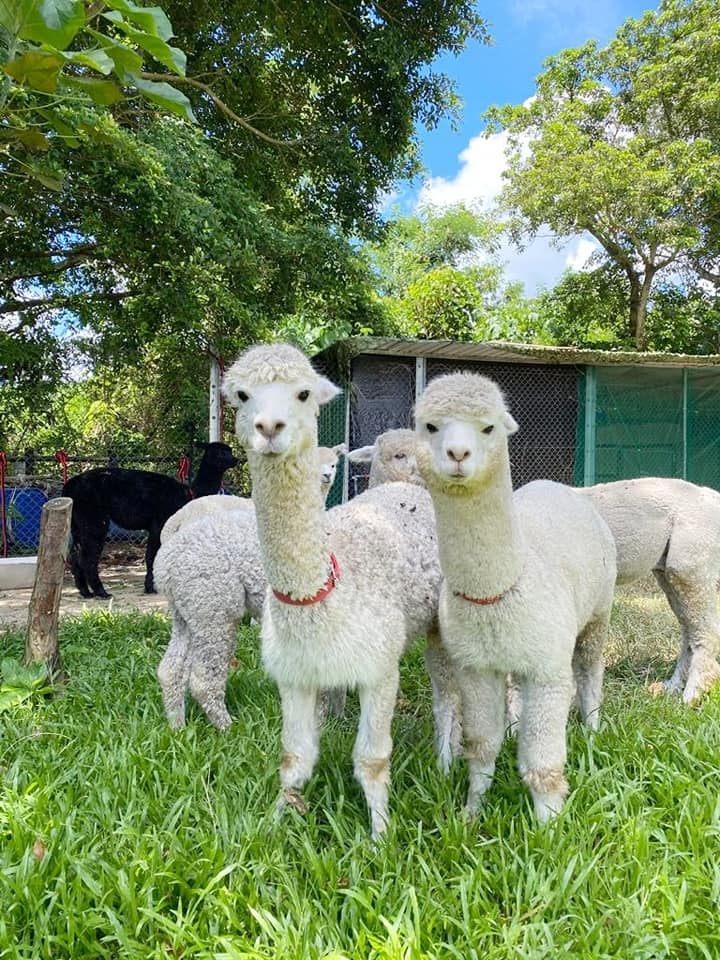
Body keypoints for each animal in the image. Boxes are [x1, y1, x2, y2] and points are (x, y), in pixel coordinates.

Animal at [63, 440, 238, 592]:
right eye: (220, 452)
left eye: (229, 450)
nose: (235, 459)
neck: (189, 493)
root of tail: (70, 486)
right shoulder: (159, 524)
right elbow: (152, 556)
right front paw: (151, 587)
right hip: (93, 517)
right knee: (87, 557)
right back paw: (101, 593)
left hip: (77, 522)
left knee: (75, 556)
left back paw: (86, 592)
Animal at [153, 446, 348, 732]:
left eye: (334, 464)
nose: (326, 475)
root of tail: (165, 561)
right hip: (213, 604)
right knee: (203, 678)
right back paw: (227, 728)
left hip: (187, 610)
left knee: (171, 669)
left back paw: (177, 726)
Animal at [219, 344, 458, 840]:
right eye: (241, 394)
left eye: (304, 393)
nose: (269, 428)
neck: (321, 594)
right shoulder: (295, 675)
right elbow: (294, 758)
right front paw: (274, 822)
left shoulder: (379, 669)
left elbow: (371, 760)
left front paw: (381, 835)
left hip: (440, 621)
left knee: (446, 695)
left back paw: (446, 765)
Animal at [414, 372, 616, 820]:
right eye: (430, 426)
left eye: (488, 427)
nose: (457, 453)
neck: (494, 595)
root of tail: (559, 487)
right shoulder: (475, 666)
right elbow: (481, 746)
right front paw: (471, 812)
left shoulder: (547, 667)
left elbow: (542, 761)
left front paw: (549, 823)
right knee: (516, 695)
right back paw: (513, 730)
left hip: (598, 612)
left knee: (590, 673)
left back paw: (593, 732)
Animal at [584, 476, 720, 700]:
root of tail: (712, 497)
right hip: (669, 572)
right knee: (689, 628)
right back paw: (672, 688)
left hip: (689, 561)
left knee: (706, 629)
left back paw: (691, 695)